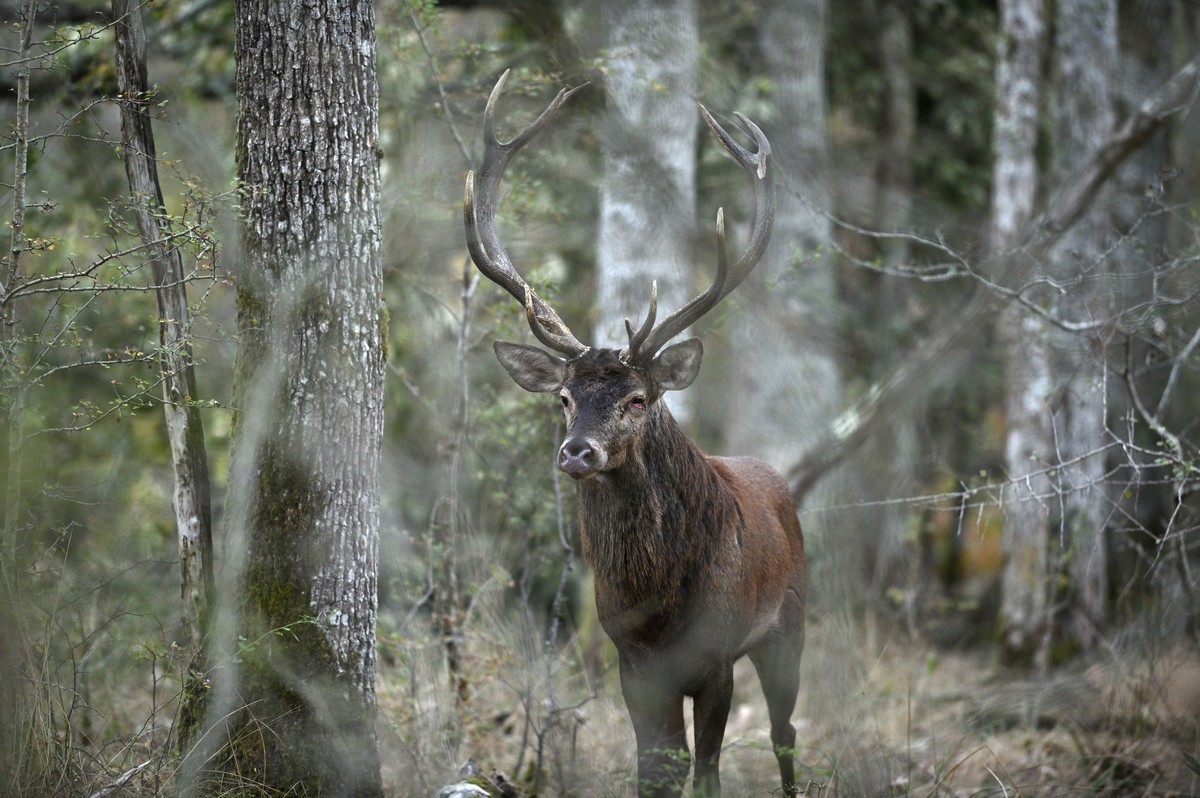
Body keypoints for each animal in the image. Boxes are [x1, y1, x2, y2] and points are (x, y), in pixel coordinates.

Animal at [463, 70, 807, 798]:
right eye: (565, 397)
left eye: (638, 398)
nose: (577, 451)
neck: (659, 599)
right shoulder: (632, 660)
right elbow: (656, 768)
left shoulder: (717, 655)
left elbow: (706, 770)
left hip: (789, 623)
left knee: (786, 732)